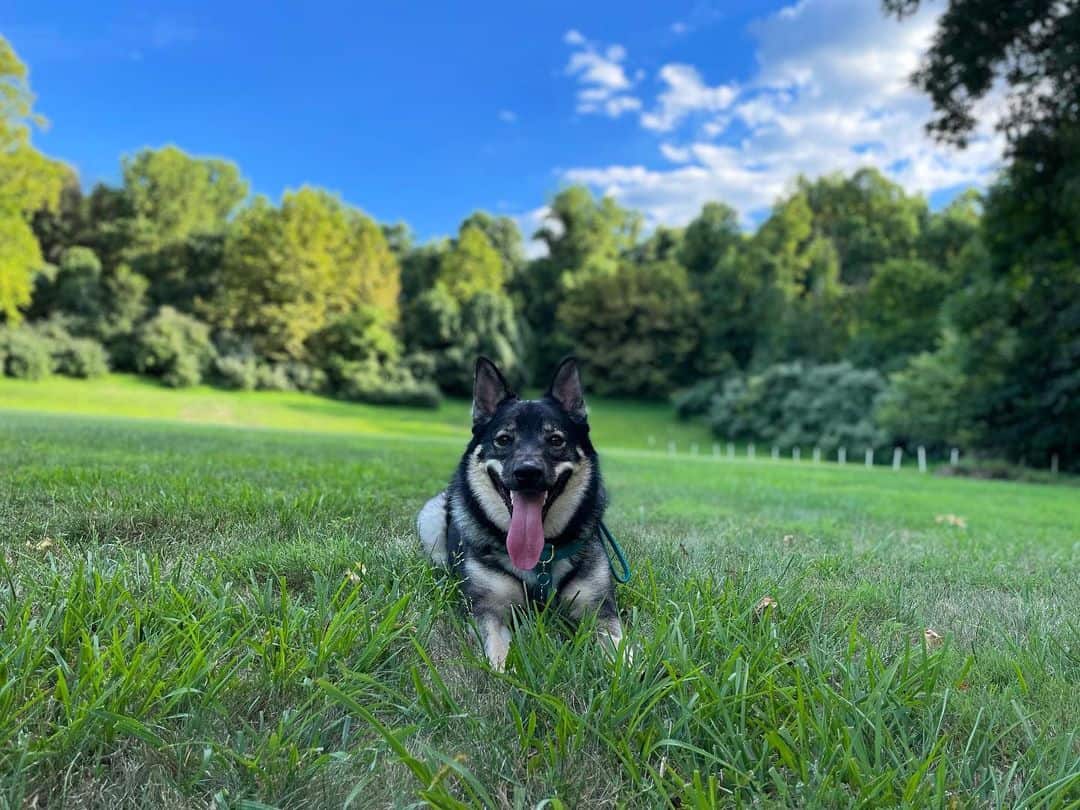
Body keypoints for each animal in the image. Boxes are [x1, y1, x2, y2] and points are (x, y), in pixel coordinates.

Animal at [419, 356, 630, 673]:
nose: (527, 473)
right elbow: (496, 653)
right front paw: (503, 674)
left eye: (555, 440)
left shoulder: (597, 607)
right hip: (429, 518)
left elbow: (618, 645)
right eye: (504, 439)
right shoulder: (489, 609)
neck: (541, 556)